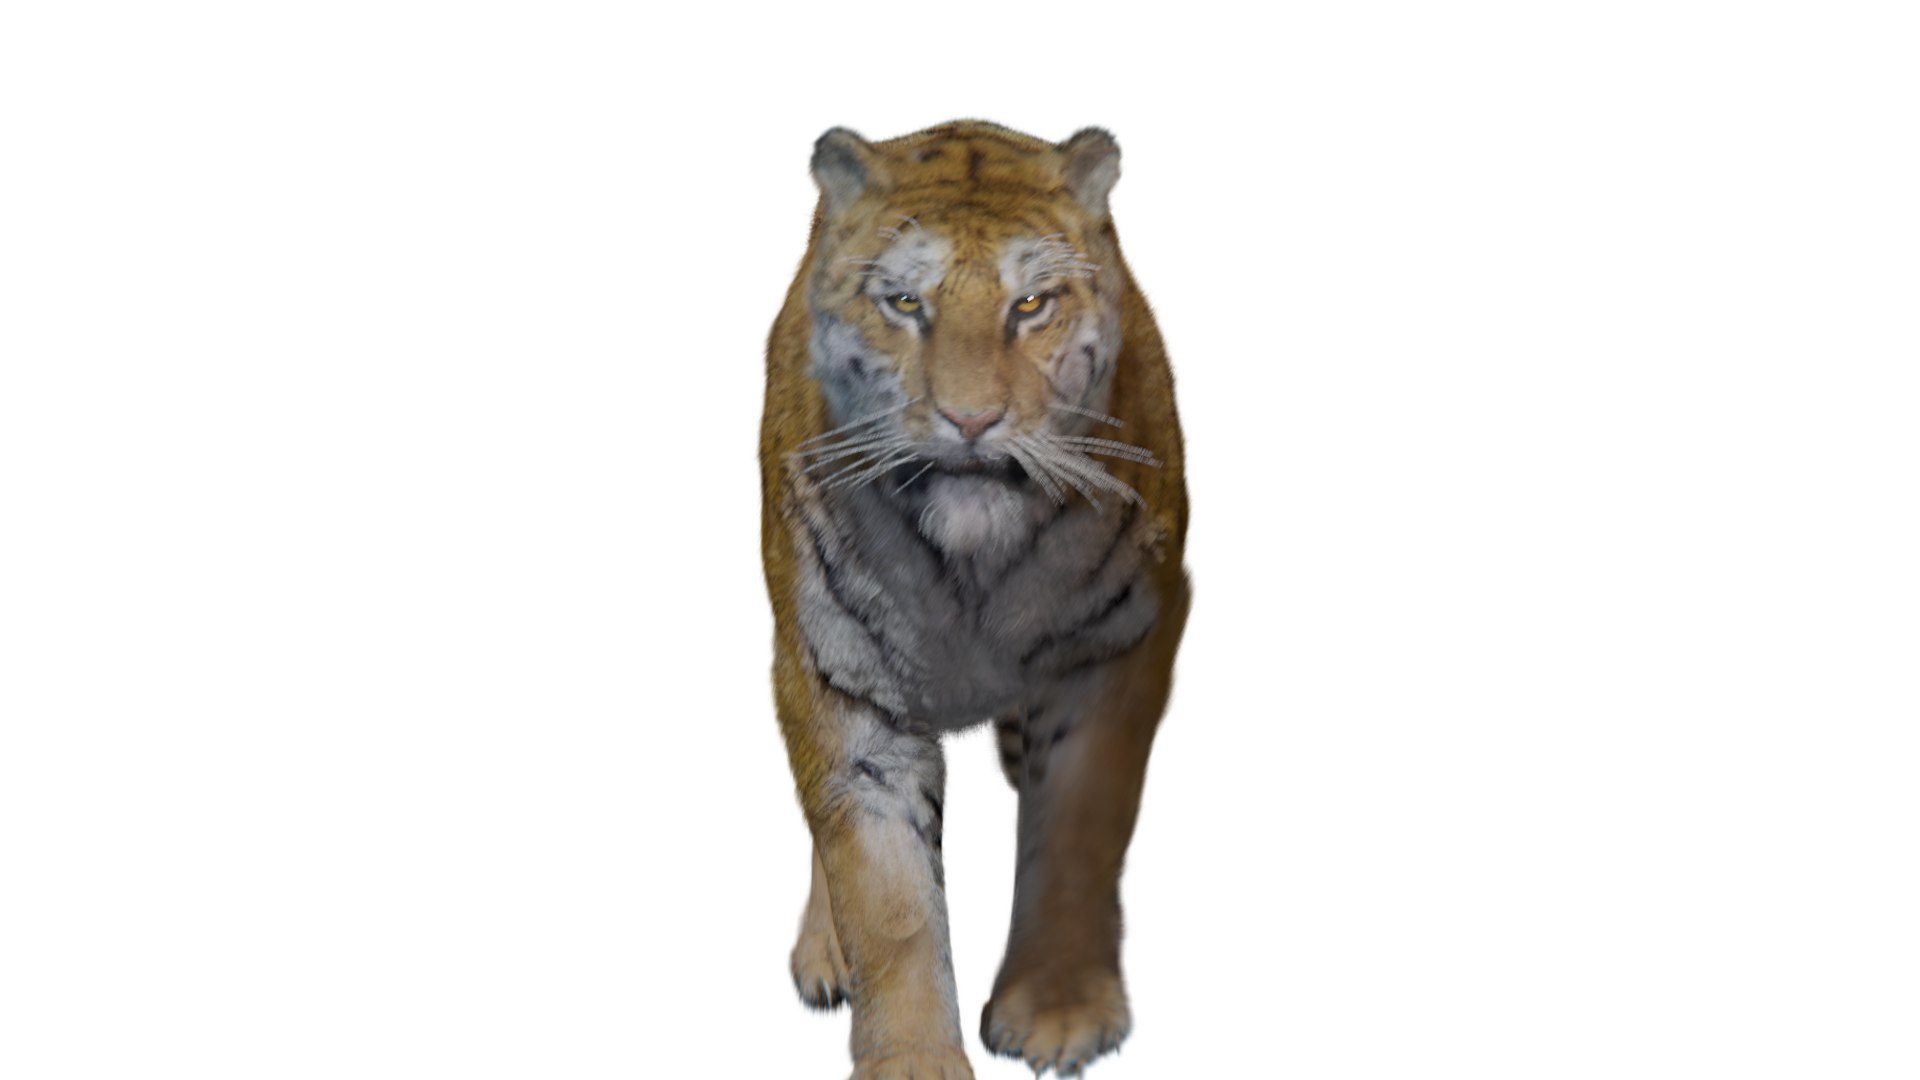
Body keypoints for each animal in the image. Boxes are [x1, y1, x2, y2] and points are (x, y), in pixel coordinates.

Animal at [759, 119, 1191, 1079]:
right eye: (904, 303)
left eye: (1029, 305)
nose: (970, 421)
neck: (970, 566)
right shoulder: (840, 680)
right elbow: (886, 896)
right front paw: (912, 1061)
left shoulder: (1113, 653)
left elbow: (1079, 829)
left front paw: (1060, 1013)